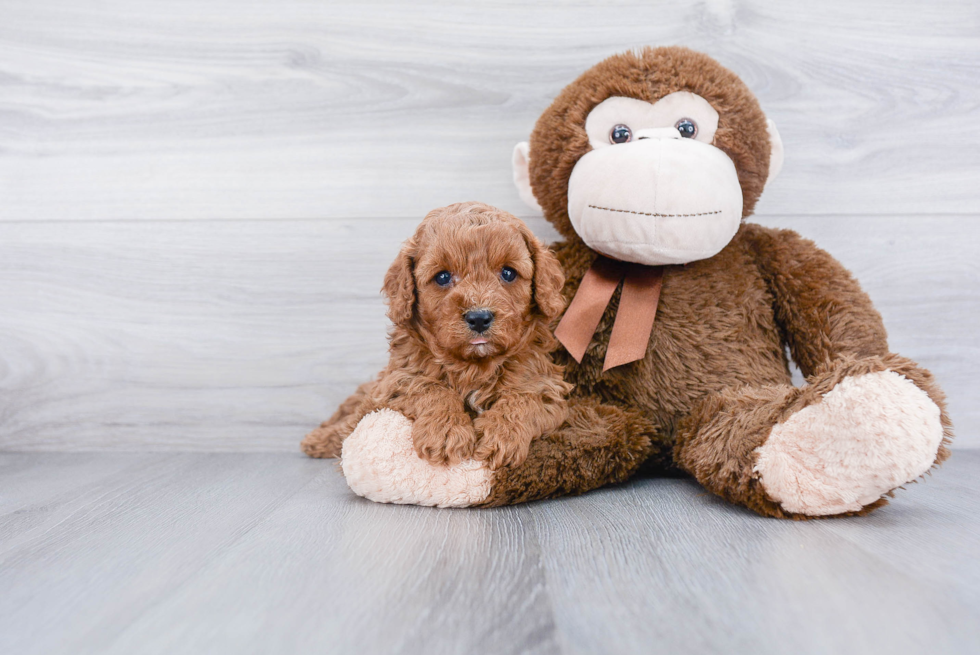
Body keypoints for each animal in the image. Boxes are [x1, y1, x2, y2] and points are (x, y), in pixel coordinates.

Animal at [302, 202, 572, 468]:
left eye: (508, 273)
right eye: (442, 277)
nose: (479, 317)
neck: (472, 366)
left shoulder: (544, 386)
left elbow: (522, 399)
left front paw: (501, 435)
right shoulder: (394, 381)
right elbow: (429, 387)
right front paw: (446, 432)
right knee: (347, 415)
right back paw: (318, 439)